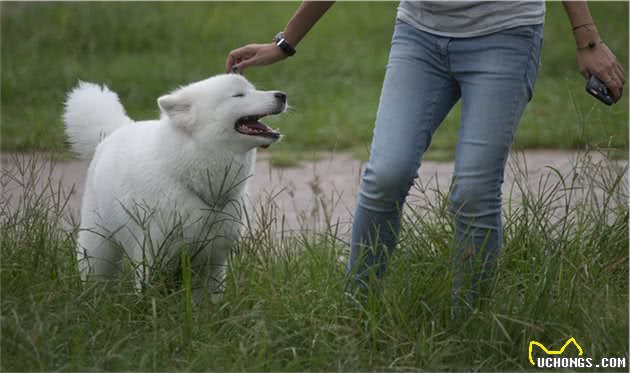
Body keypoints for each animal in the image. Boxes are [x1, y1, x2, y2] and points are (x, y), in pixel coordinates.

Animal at [63, 74, 286, 298]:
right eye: (238, 95)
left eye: (253, 89)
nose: (282, 95)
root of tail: (117, 130)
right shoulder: (152, 256)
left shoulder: (212, 262)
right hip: (98, 245)